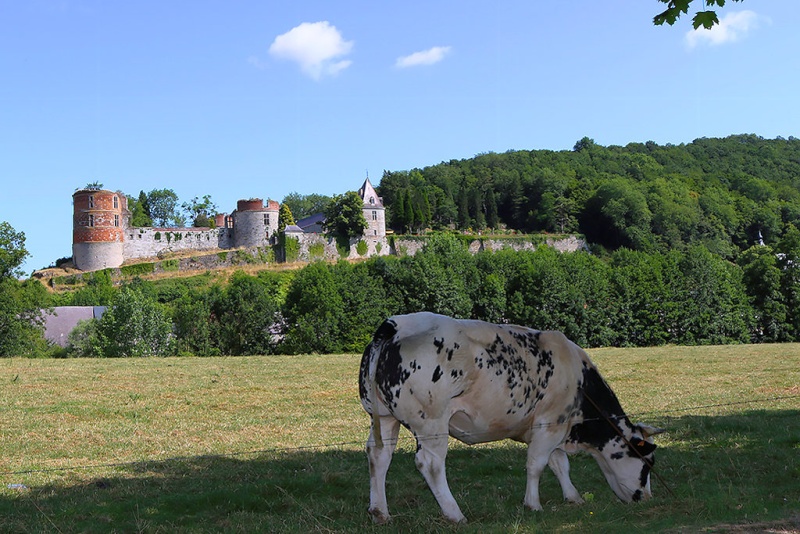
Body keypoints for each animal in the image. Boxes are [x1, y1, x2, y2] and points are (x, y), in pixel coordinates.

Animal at [360, 312, 664, 524]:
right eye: (647, 463)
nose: (647, 499)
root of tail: (396, 324)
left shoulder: (552, 426)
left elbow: (559, 464)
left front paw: (573, 497)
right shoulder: (550, 423)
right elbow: (537, 465)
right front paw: (533, 504)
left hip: (384, 417)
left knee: (379, 455)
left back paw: (380, 512)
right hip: (431, 421)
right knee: (430, 464)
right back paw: (455, 514)